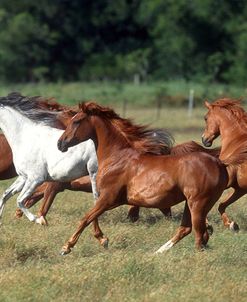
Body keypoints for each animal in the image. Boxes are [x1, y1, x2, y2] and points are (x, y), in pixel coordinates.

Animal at [0, 93, 98, 225]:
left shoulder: (36, 179)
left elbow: (19, 200)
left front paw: (39, 220)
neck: (25, 137)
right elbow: (5, 195)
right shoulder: (24, 177)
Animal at [56, 101, 228, 255]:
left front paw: (66, 247)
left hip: (198, 203)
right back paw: (158, 251)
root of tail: (219, 163)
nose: (60, 144)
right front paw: (103, 240)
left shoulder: (108, 198)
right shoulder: (109, 200)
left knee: (199, 235)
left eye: (76, 121)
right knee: (188, 229)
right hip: (191, 203)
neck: (117, 157)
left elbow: (85, 218)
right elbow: (92, 217)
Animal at [202, 98, 247, 230]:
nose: (204, 139)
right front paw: (231, 224)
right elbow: (222, 204)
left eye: (205, 118)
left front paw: (207, 224)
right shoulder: (240, 188)